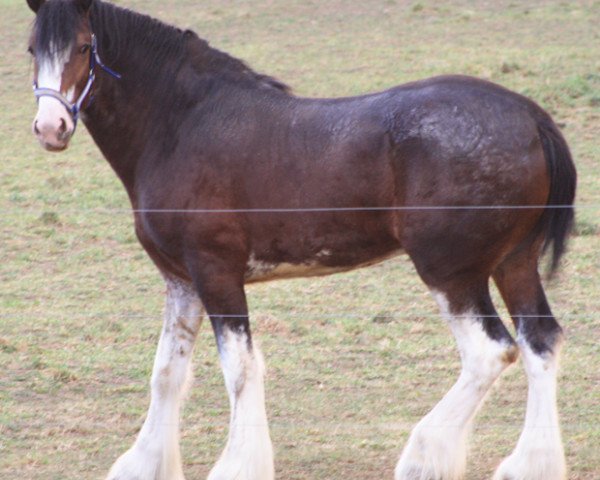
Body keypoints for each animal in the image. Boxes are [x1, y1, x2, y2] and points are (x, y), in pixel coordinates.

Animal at [24, 0, 576, 480]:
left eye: (83, 46)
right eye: (32, 49)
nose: (51, 128)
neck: (181, 125)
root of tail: (531, 117)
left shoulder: (216, 272)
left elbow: (240, 369)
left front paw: (237, 467)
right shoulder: (180, 279)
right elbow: (167, 373)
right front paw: (144, 465)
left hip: (451, 272)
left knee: (490, 352)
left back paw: (424, 457)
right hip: (512, 264)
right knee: (540, 342)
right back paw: (527, 466)